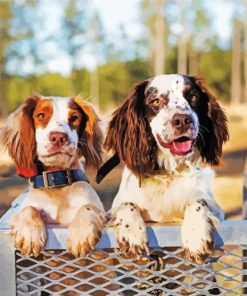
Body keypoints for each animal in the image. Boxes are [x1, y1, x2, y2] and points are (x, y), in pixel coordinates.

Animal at [0, 95, 105, 256]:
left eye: (75, 117)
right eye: (41, 115)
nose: (59, 137)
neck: (57, 179)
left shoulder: (100, 209)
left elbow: (87, 206)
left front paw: (80, 234)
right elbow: (28, 208)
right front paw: (30, 234)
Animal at [103, 74, 229, 264]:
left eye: (193, 97)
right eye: (155, 101)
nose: (183, 120)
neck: (168, 172)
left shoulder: (215, 207)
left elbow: (197, 202)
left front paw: (196, 235)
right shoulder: (113, 209)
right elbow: (127, 204)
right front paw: (132, 233)